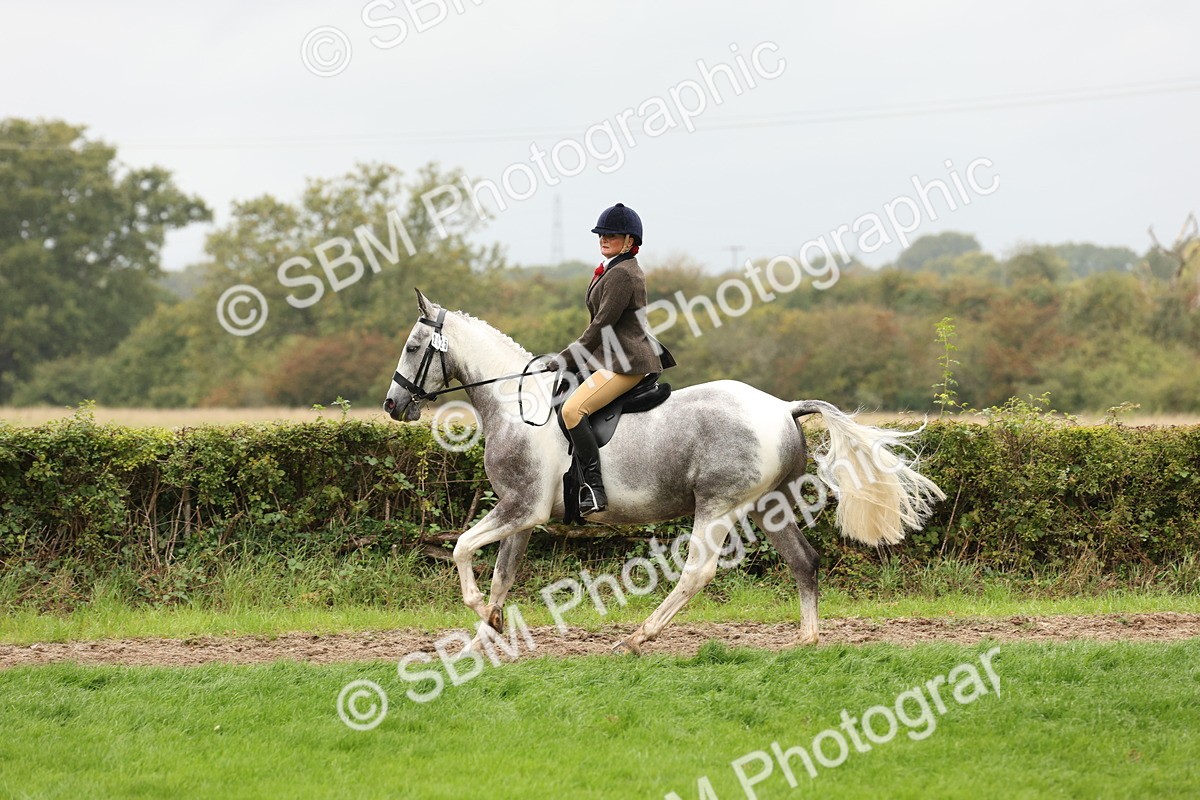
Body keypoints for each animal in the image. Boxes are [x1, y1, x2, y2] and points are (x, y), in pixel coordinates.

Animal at [383, 290, 944, 654]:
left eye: (411, 348)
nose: (392, 406)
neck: (514, 404)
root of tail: (783, 408)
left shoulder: (521, 508)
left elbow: (462, 549)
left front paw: (481, 614)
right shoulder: (521, 514)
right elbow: (502, 575)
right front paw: (485, 636)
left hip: (717, 505)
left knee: (698, 571)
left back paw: (638, 638)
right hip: (770, 505)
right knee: (803, 561)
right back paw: (806, 641)